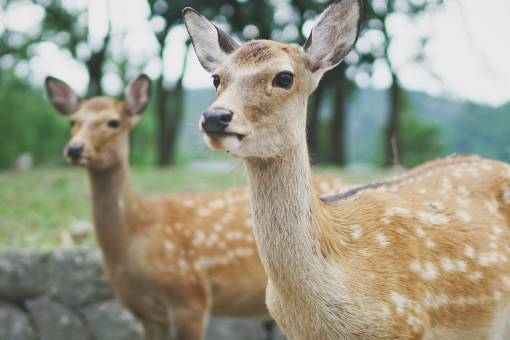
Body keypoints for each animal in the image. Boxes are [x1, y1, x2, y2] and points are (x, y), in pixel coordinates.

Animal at [45, 75, 348, 340]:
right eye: (73, 120)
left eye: (113, 122)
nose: (74, 149)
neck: (134, 238)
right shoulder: (145, 313)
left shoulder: (190, 295)